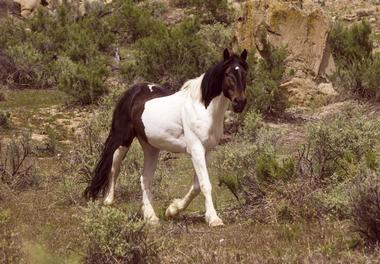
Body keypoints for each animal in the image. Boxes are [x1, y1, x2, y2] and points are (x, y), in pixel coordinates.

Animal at [84, 49, 248, 227]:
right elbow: (205, 184)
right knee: (114, 168)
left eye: (245, 73)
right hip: (122, 141)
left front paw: (172, 210)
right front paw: (214, 219)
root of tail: (133, 90)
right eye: (227, 73)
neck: (202, 108)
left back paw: (151, 217)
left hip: (151, 148)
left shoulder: (207, 151)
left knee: (145, 178)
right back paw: (108, 201)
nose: (240, 102)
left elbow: (196, 186)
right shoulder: (196, 149)